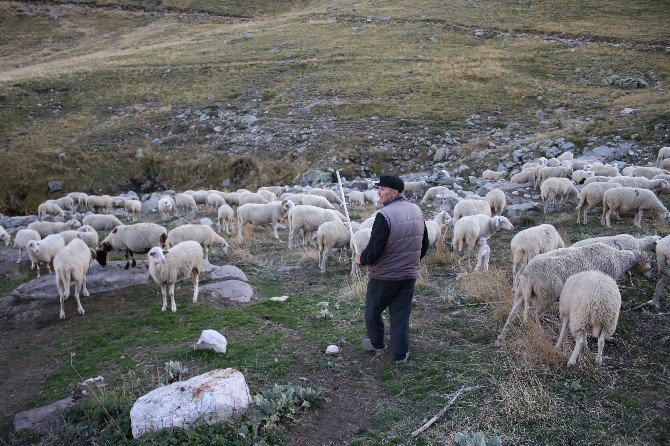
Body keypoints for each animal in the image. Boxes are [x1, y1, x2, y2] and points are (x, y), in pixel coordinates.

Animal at [496, 242, 652, 346]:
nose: (650, 277)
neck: (617, 258)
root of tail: (529, 273)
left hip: (521, 293)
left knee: (512, 313)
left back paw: (500, 338)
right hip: (547, 295)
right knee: (534, 315)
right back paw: (541, 333)